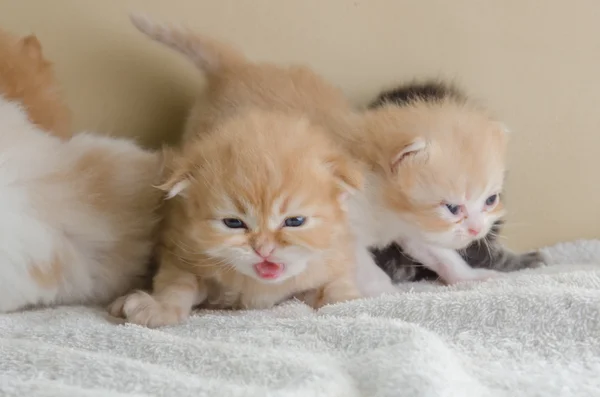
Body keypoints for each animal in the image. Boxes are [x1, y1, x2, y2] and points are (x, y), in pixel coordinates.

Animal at [108, 110, 364, 326]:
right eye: (234, 223)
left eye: (294, 222)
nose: (264, 250)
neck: (260, 287)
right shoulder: (180, 251)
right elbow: (176, 284)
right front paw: (159, 308)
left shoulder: (333, 260)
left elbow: (336, 288)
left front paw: (350, 301)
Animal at [129, 13, 508, 296]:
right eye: (453, 207)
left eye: (491, 200)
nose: (476, 230)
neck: (380, 195)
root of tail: (234, 67)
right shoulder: (337, 225)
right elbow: (362, 265)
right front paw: (383, 291)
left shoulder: (408, 226)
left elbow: (438, 253)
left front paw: (470, 277)